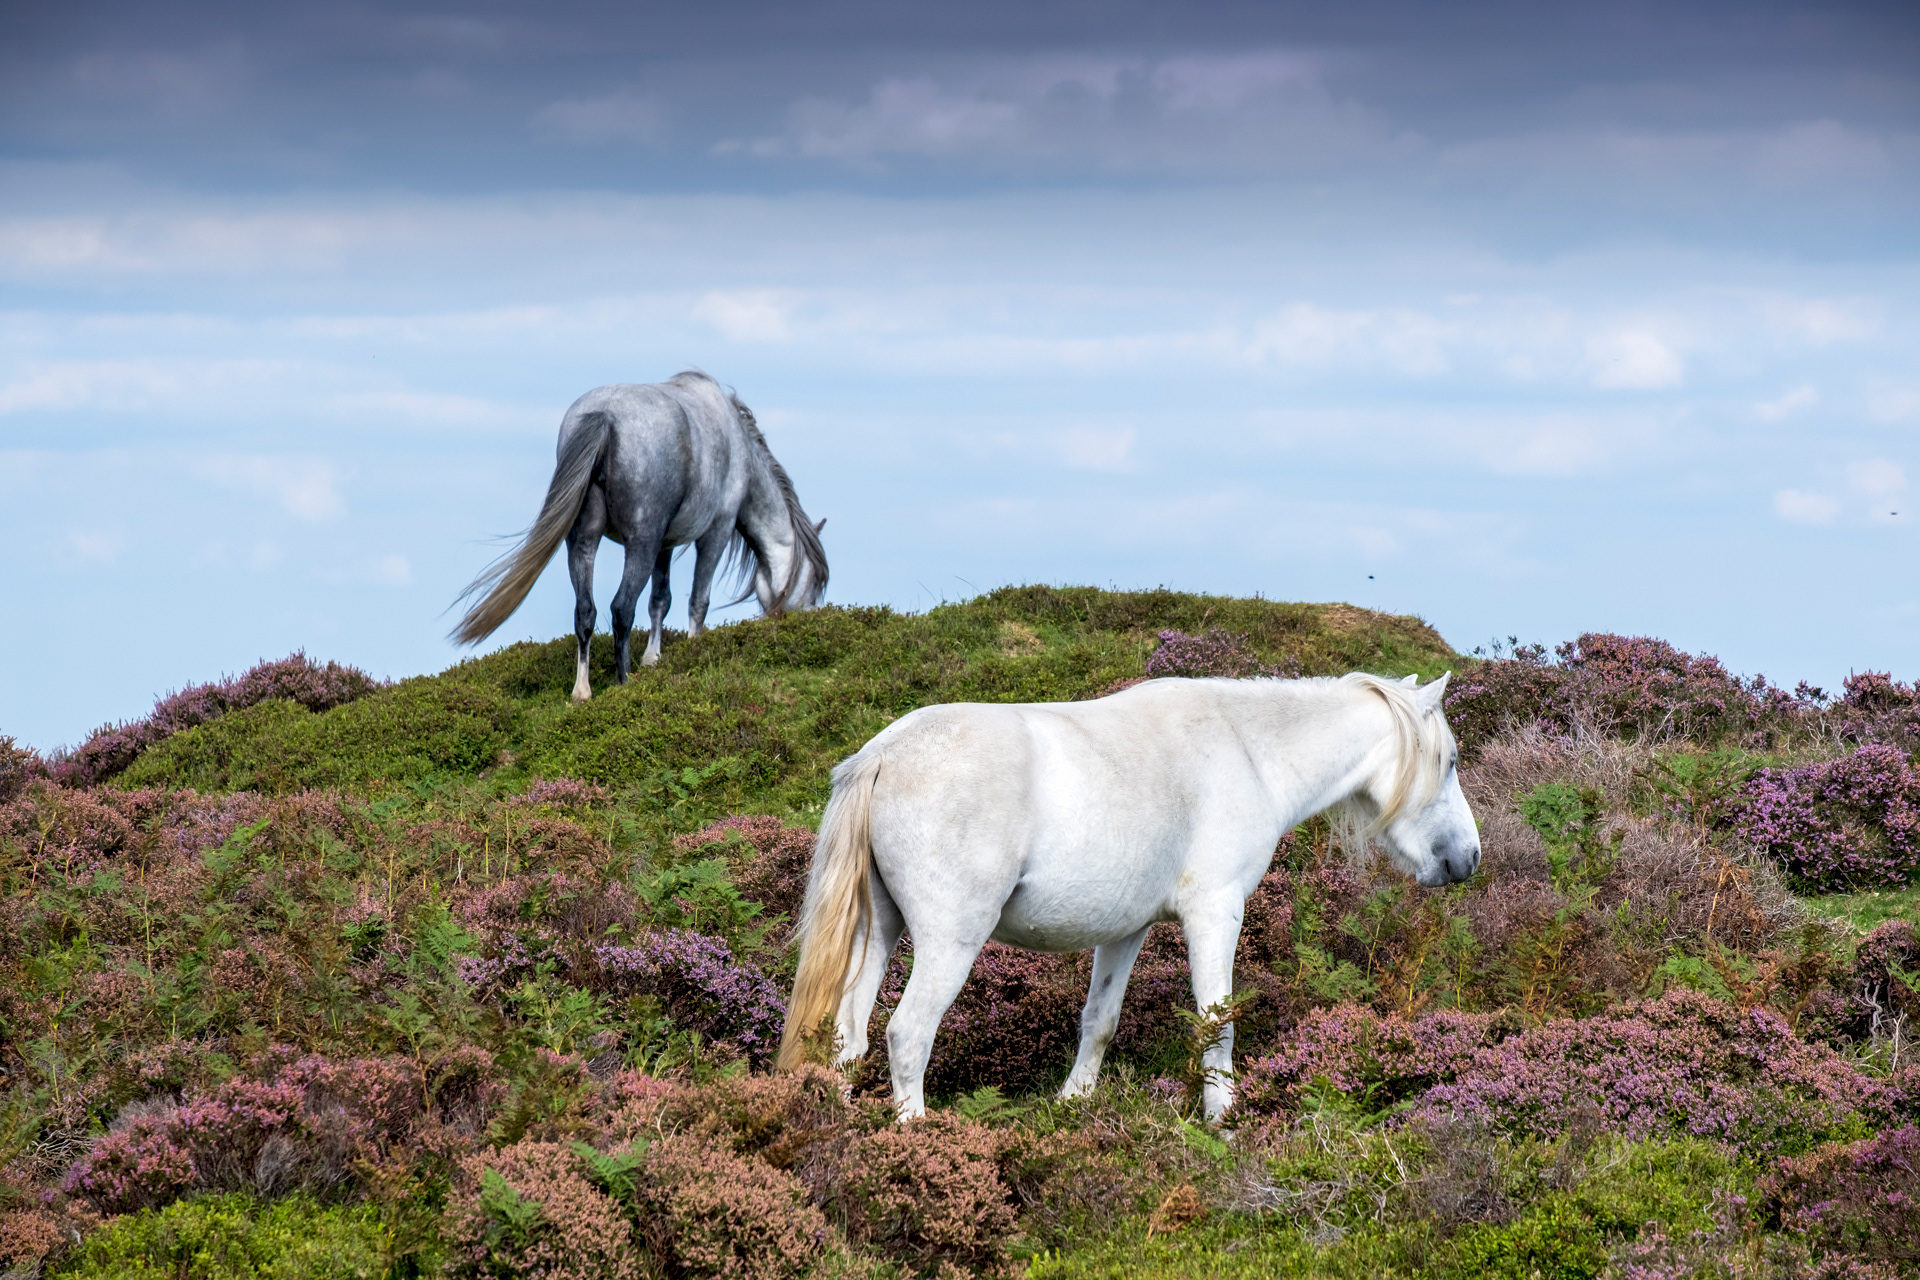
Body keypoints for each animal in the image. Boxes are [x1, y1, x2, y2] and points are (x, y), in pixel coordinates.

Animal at [450, 372, 827, 699]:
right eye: (812, 589)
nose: (804, 623)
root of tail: (605, 415)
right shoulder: (714, 533)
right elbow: (697, 601)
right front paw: (693, 652)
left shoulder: (664, 544)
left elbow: (660, 600)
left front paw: (652, 659)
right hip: (640, 545)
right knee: (621, 608)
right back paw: (624, 682)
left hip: (584, 542)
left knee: (585, 611)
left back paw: (582, 692)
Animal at [777, 670, 1480, 1122]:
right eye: (1447, 761)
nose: (1467, 858)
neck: (1247, 751)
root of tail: (884, 754)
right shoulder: (1215, 914)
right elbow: (1216, 1023)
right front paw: (1224, 1120)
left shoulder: (1125, 931)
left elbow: (1100, 1019)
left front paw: (1074, 1104)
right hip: (951, 941)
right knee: (907, 1033)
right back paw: (916, 1137)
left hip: (879, 932)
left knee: (847, 1037)